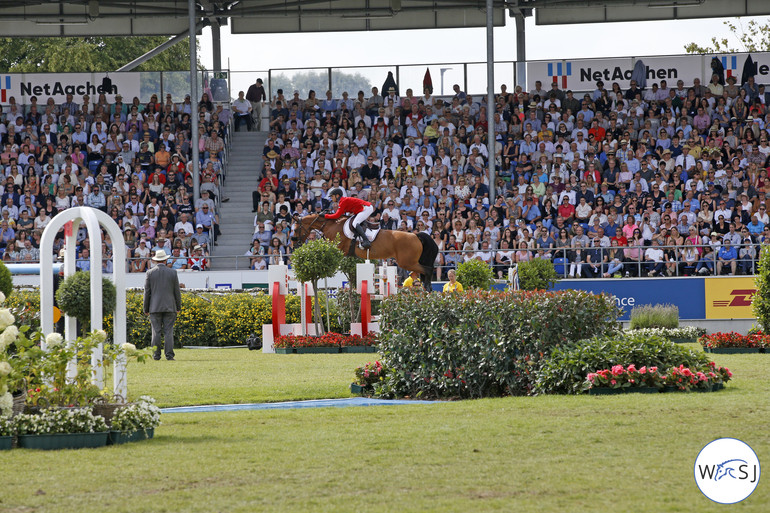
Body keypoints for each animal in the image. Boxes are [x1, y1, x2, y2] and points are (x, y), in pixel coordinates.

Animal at [292, 213, 438, 292]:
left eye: (295, 229)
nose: (295, 244)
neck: (330, 226)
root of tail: (416, 235)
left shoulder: (336, 249)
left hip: (406, 262)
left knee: (427, 269)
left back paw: (428, 287)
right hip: (409, 262)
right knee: (420, 272)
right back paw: (427, 287)